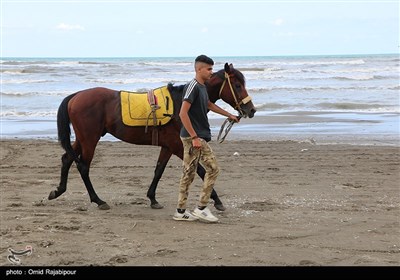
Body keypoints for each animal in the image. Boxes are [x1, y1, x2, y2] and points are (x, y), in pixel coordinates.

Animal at [48, 63, 258, 210]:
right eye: (237, 85)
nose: (251, 110)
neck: (181, 104)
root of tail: (75, 96)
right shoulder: (180, 146)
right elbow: (200, 171)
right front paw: (217, 200)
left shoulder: (168, 147)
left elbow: (158, 170)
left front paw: (152, 198)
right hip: (90, 140)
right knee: (83, 167)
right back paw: (98, 200)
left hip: (82, 139)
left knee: (66, 159)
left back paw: (58, 191)